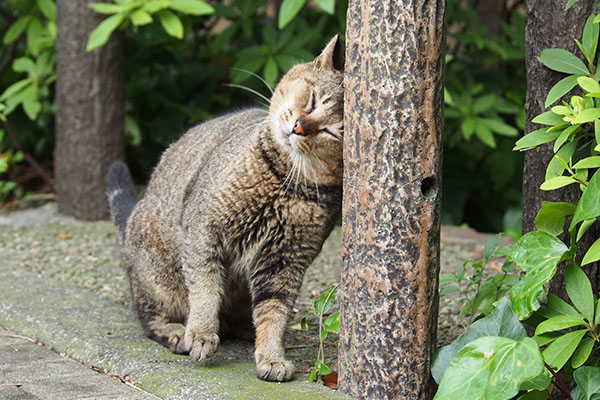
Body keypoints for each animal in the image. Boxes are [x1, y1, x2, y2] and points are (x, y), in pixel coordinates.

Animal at [106, 36, 342, 382]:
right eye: (311, 100)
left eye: (330, 131)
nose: (299, 126)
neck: (283, 183)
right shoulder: (204, 230)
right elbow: (205, 289)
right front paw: (201, 333)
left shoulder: (285, 262)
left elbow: (274, 313)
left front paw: (271, 356)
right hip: (158, 275)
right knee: (149, 317)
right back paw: (177, 331)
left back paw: (245, 328)